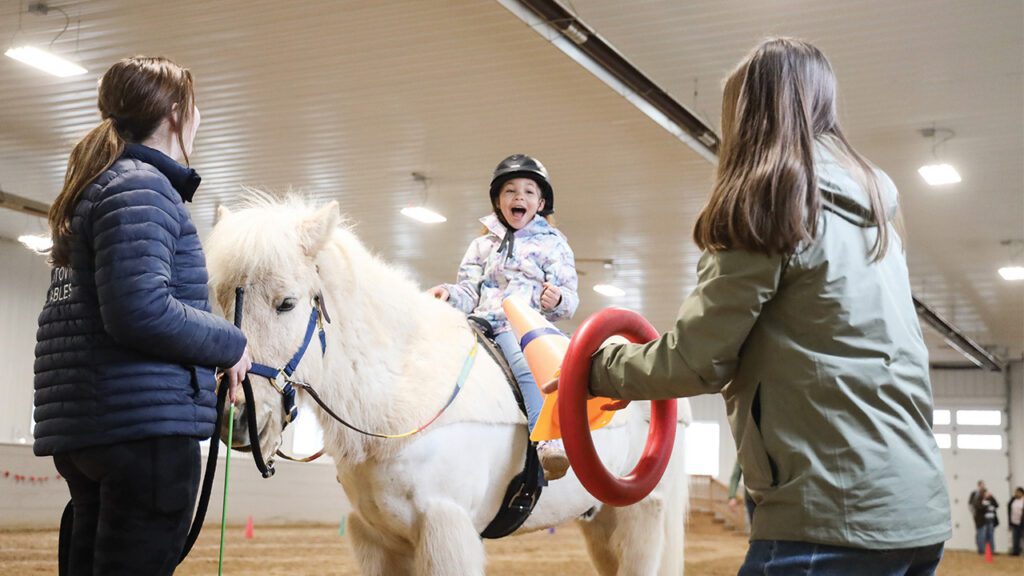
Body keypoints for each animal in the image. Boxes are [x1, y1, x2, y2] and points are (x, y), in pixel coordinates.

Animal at [204, 194, 691, 576]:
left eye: (286, 303)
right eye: (220, 298)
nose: (236, 419)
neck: (400, 393)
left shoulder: (446, 533)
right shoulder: (378, 540)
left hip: (642, 517)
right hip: (601, 523)